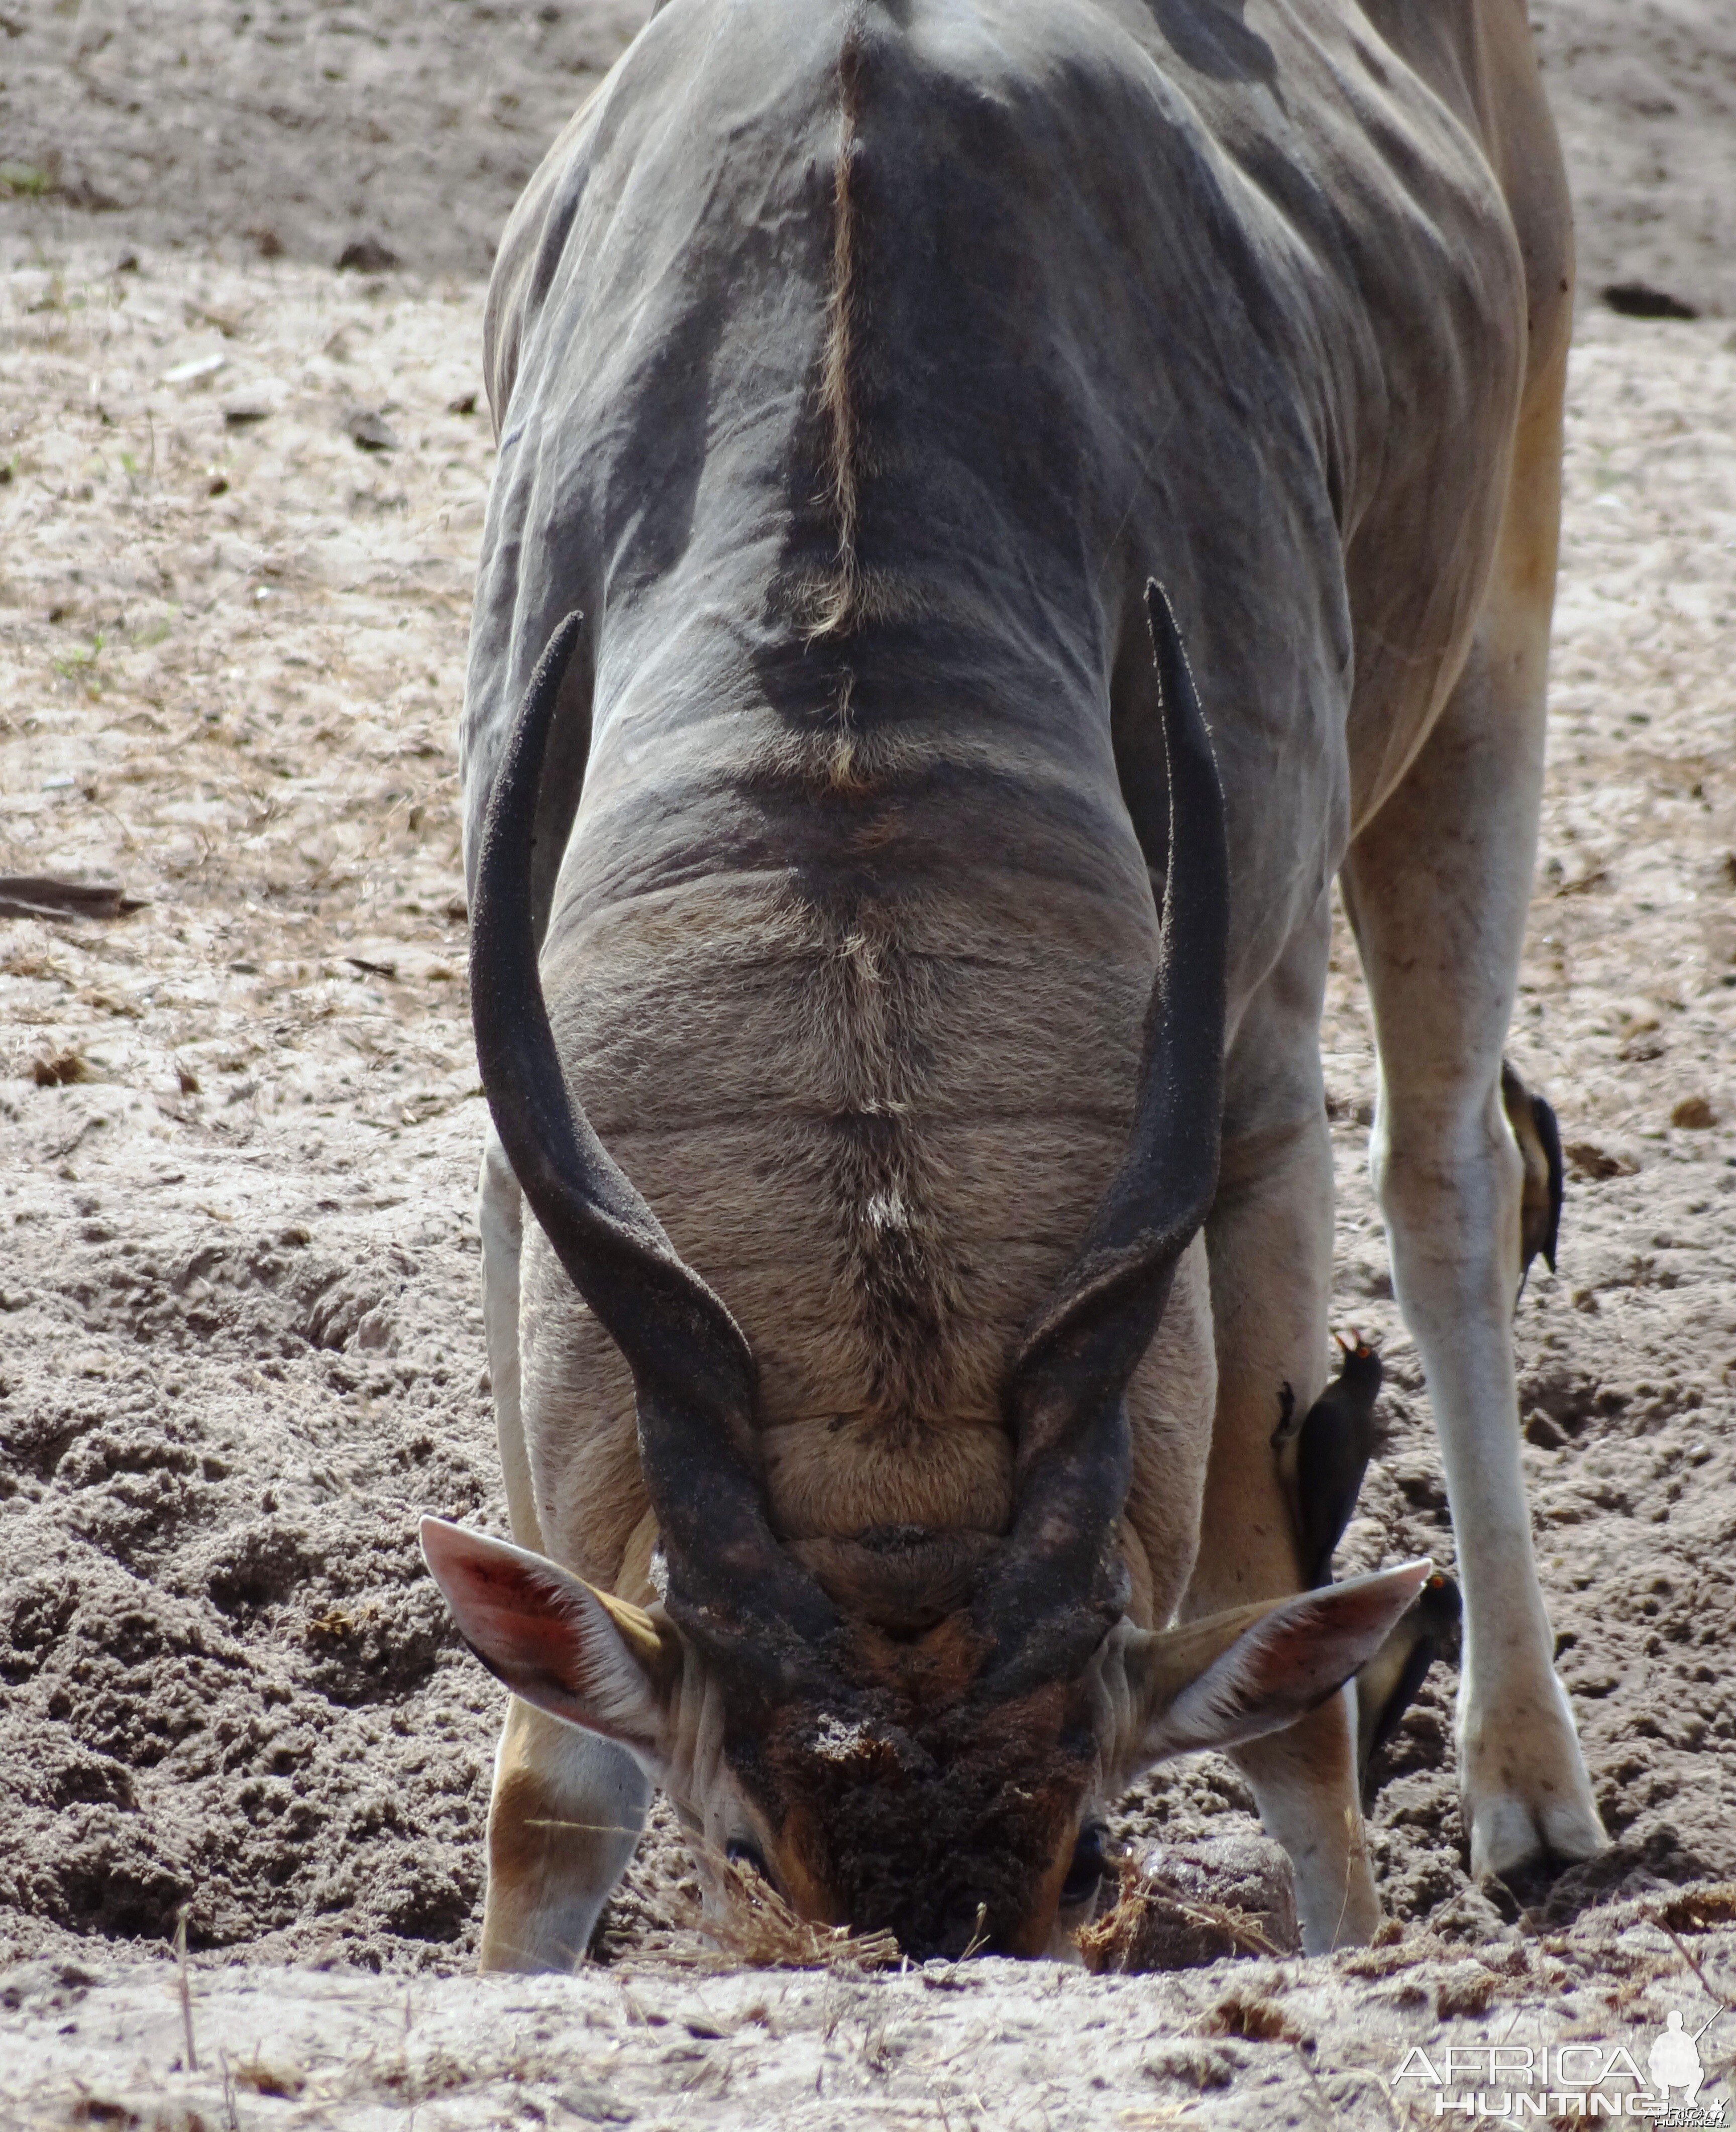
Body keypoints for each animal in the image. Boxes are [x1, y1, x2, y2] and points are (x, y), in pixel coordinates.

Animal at [418, 0, 1603, 1961]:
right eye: (744, 1838)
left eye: (1089, 1841)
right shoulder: (534, 1179)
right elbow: (548, 1794)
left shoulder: (1249, 1084)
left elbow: (1284, 1713)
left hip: (1494, 634)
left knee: (1453, 1170)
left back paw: (1532, 1788)